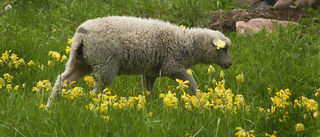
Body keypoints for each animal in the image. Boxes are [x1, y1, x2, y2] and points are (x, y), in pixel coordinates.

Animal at [46, 15, 231, 107]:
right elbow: (191, 82)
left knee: (63, 80)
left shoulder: (151, 71)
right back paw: (95, 110)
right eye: (224, 48)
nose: (229, 64)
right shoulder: (172, 66)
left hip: (80, 61)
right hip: (105, 64)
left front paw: (149, 108)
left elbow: (148, 91)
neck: (187, 44)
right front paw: (200, 103)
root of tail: (82, 34)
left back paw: (50, 106)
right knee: (95, 91)